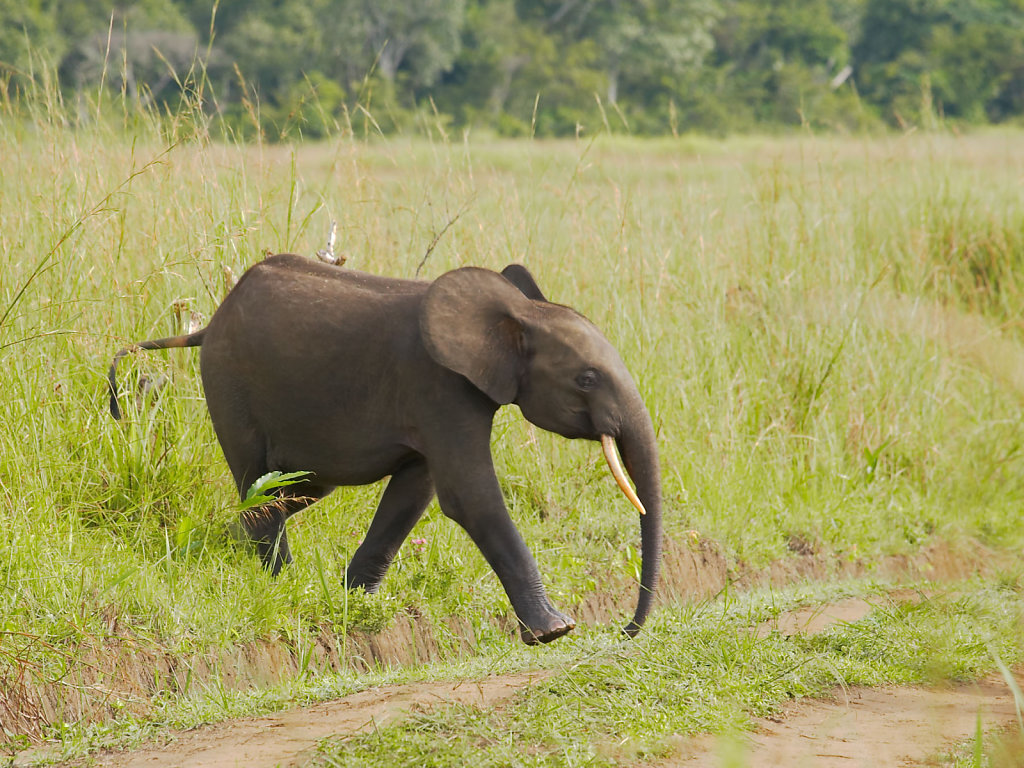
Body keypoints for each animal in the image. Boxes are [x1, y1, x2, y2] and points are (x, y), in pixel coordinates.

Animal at [105, 256, 663, 647]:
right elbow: (470, 497)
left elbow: (415, 491)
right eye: (586, 379)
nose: (624, 632)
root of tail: (209, 322)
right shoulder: (438, 387)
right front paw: (555, 630)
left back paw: (231, 545)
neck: (518, 315)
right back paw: (279, 582)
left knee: (295, 489)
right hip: (229, 384)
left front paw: (354, 604)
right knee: (259, 486)